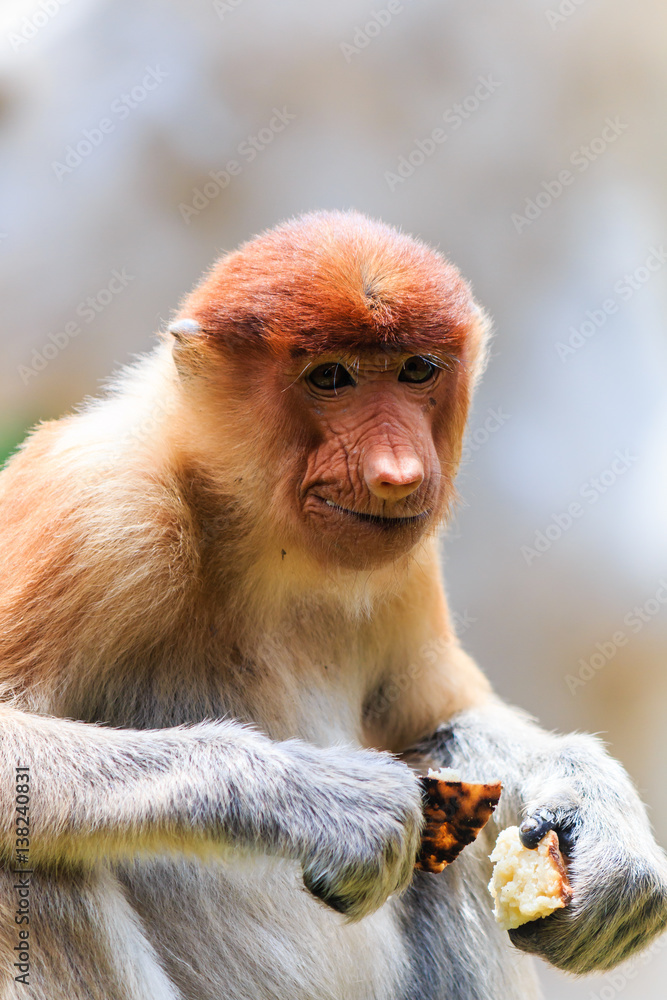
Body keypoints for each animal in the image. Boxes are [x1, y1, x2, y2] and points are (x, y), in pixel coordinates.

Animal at [0, 210, 665, 1000]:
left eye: (416, 369)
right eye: (329, 377)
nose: (397, 475)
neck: (252, 527)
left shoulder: (405, 564)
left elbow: (435, 718)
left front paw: (603, 822)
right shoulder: (98, 508)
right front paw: (335, 805)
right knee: (36, 861)